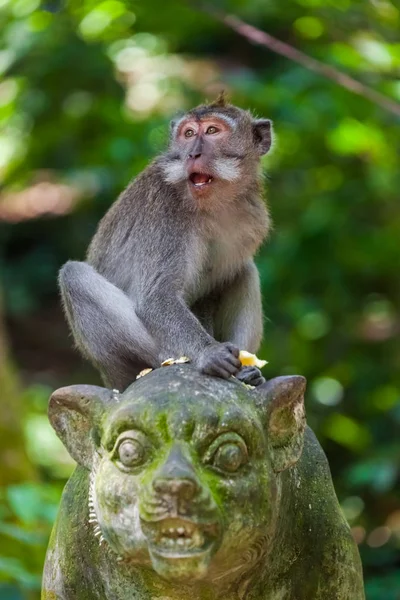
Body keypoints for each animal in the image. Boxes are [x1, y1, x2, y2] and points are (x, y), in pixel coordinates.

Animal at [58, 94, 272, 392]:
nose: (192, 154)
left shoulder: (253, 221)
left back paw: (248, 374)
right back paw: (170, 357)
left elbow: (213, 287)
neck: (212, 205)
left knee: (243, 271)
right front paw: (208, 352)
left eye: (212, 131)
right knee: (74, 274)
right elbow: (157, 297)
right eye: (189, 134)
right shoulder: (166, 211)